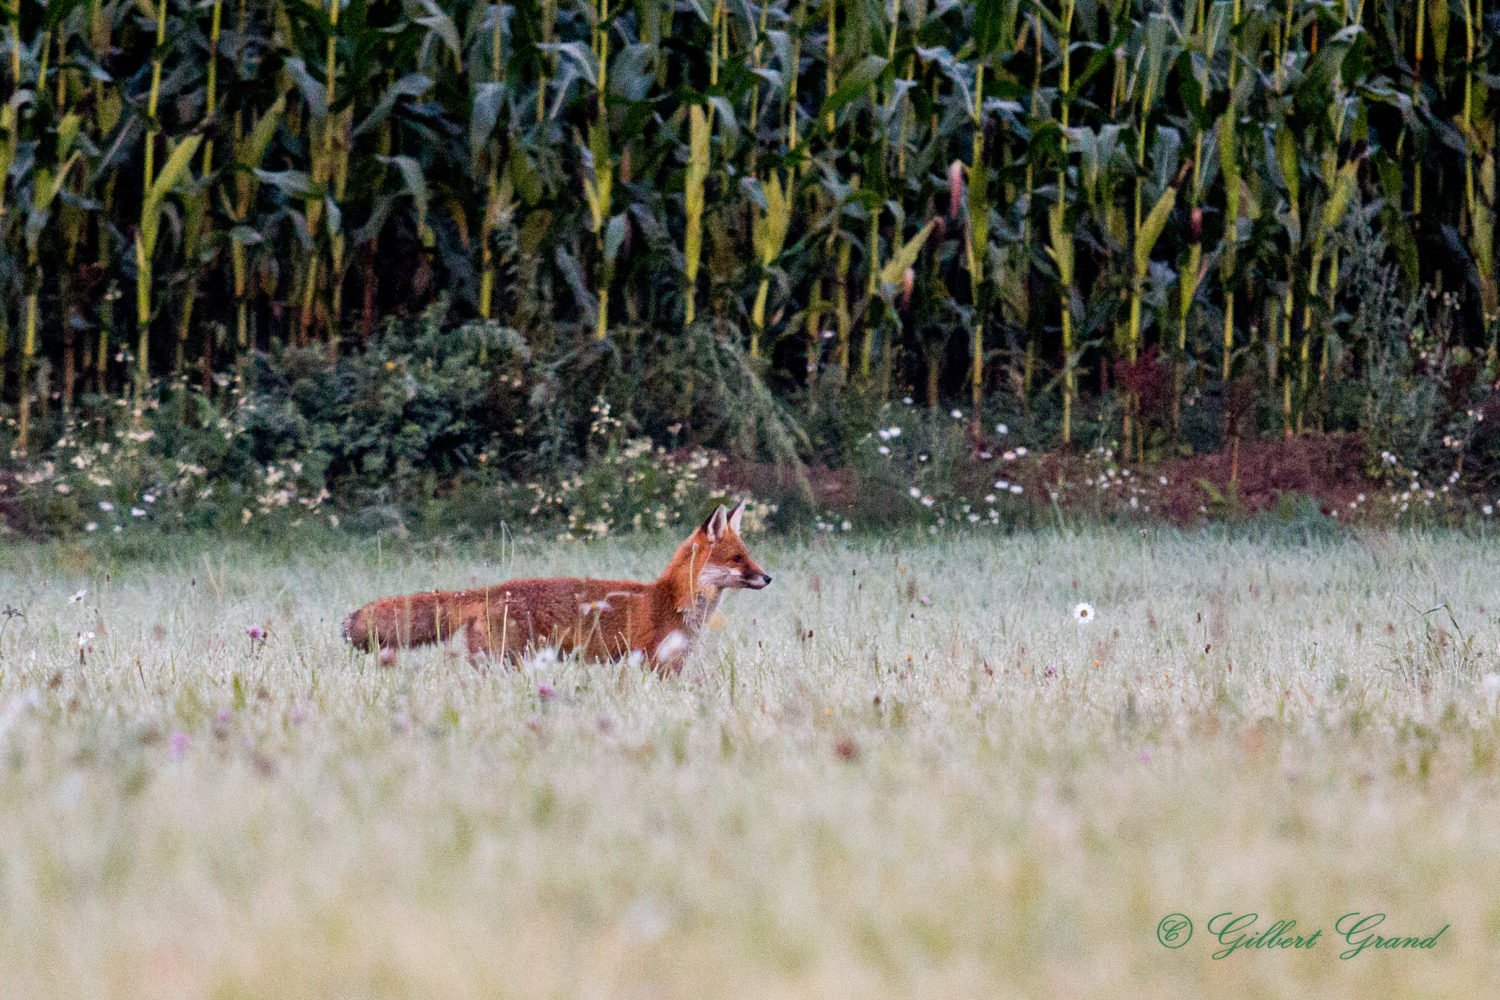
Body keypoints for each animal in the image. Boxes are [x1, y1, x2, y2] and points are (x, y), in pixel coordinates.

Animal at [342, 500, 774, 671]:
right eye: (738, 560)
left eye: (748, 556)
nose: (768, 577)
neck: (671, 600)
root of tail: (492, 589)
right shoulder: (654, 662)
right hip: (504, 661)